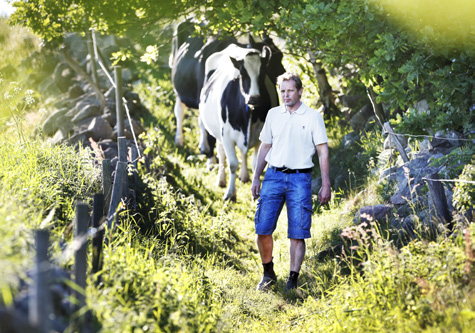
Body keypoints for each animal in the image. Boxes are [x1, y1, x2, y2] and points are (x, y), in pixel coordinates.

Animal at [198, 44, 278, 200]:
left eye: (263, 73)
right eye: (242, 74)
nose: (254, 98)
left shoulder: (262, 138)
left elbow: (256, 166)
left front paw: (255, 195)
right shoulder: (227, 136)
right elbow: (233, 164)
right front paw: (230, 194)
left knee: (242, 153)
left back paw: (244, 176)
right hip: (217, 133)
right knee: (221, 153)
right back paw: (221, 180)